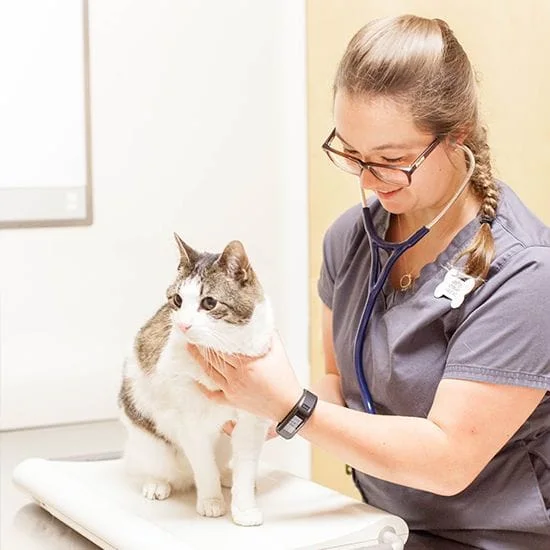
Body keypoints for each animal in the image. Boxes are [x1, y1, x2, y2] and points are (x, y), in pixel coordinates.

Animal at [121, 235, 276, 528]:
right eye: (177, 299)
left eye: (209, 303)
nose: (183, 325)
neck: (221, 352)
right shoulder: (189, 420)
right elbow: (204, 467)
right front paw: (211, 502)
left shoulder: (252, 420)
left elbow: (246, 466)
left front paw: (244, 508)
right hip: (145, 435)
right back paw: (158, 483)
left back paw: (227, 476)